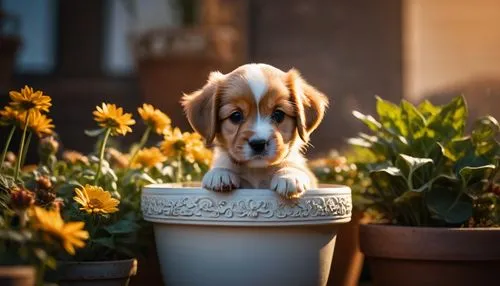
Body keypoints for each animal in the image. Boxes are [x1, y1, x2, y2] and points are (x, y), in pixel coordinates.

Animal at [182, 63, 330, 198]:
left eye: (278, 114)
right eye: (236, 116)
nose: (259, 144)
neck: (257, 171)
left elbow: (295, 167)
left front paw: (289, 175)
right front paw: (220, 173)